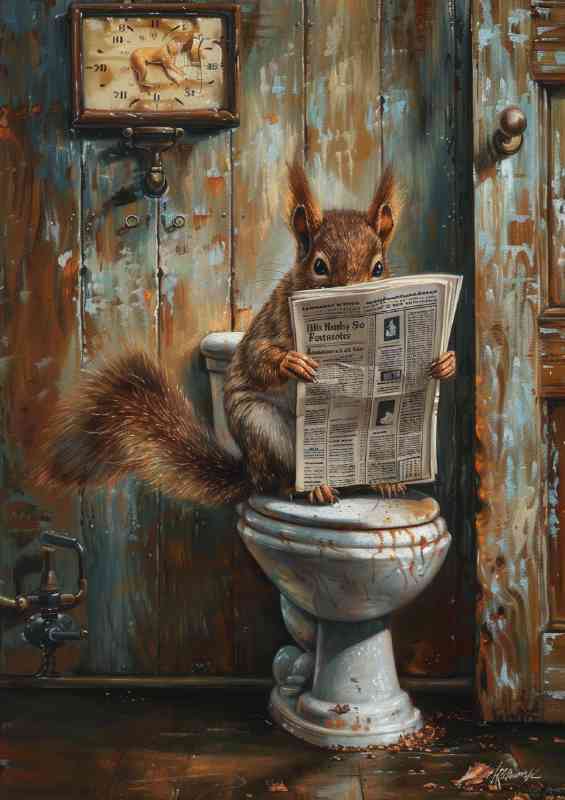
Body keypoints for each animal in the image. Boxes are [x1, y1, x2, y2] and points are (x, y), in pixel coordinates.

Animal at [34, 163, 456, 506]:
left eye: (379, 268)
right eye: (319, 266)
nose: (356, 301)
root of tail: (249, 472)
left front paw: (443, 364)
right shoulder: (273, 321)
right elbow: (256, 356)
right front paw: (292, 362)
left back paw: (385, 483)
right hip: (263, 429)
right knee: (278, 481)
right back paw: (314, 488)